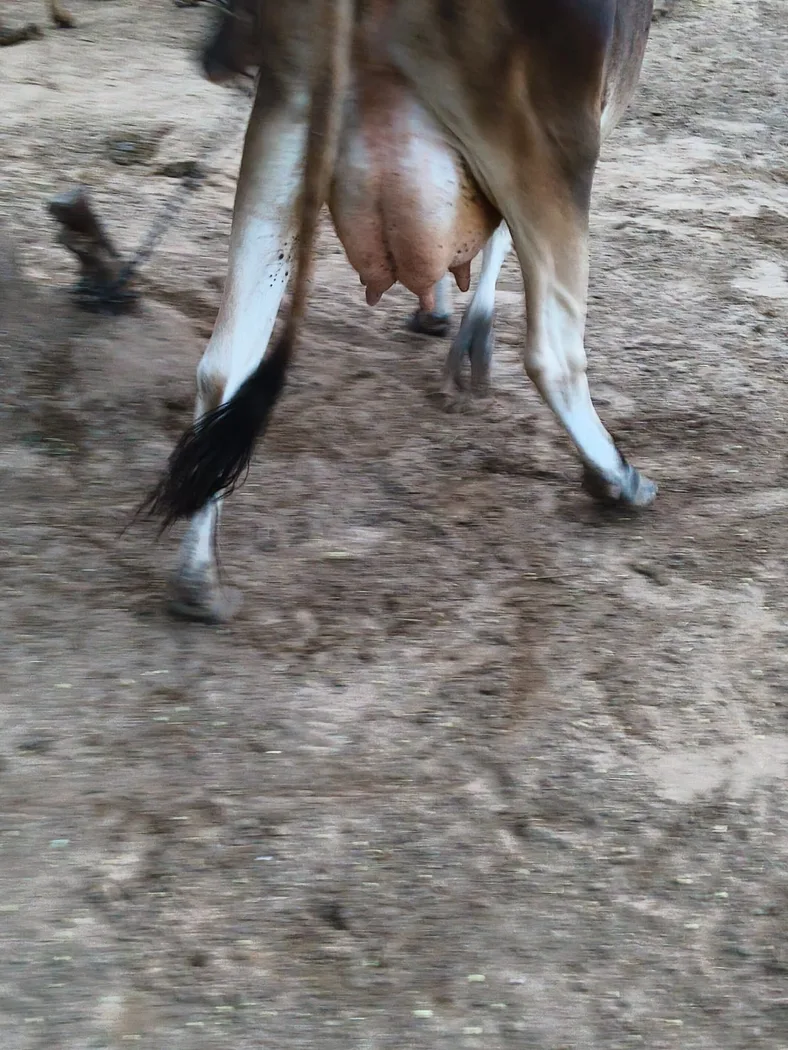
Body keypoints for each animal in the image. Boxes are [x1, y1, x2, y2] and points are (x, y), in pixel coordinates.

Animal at [144, 0, 658, 623]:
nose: (212, 58)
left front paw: (437, 311)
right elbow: (499, 247)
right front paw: (466, 332)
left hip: (284, 116)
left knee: (226, 365)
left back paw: (199, 583)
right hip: (549, 149)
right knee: (552, 352)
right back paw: (617, 477)